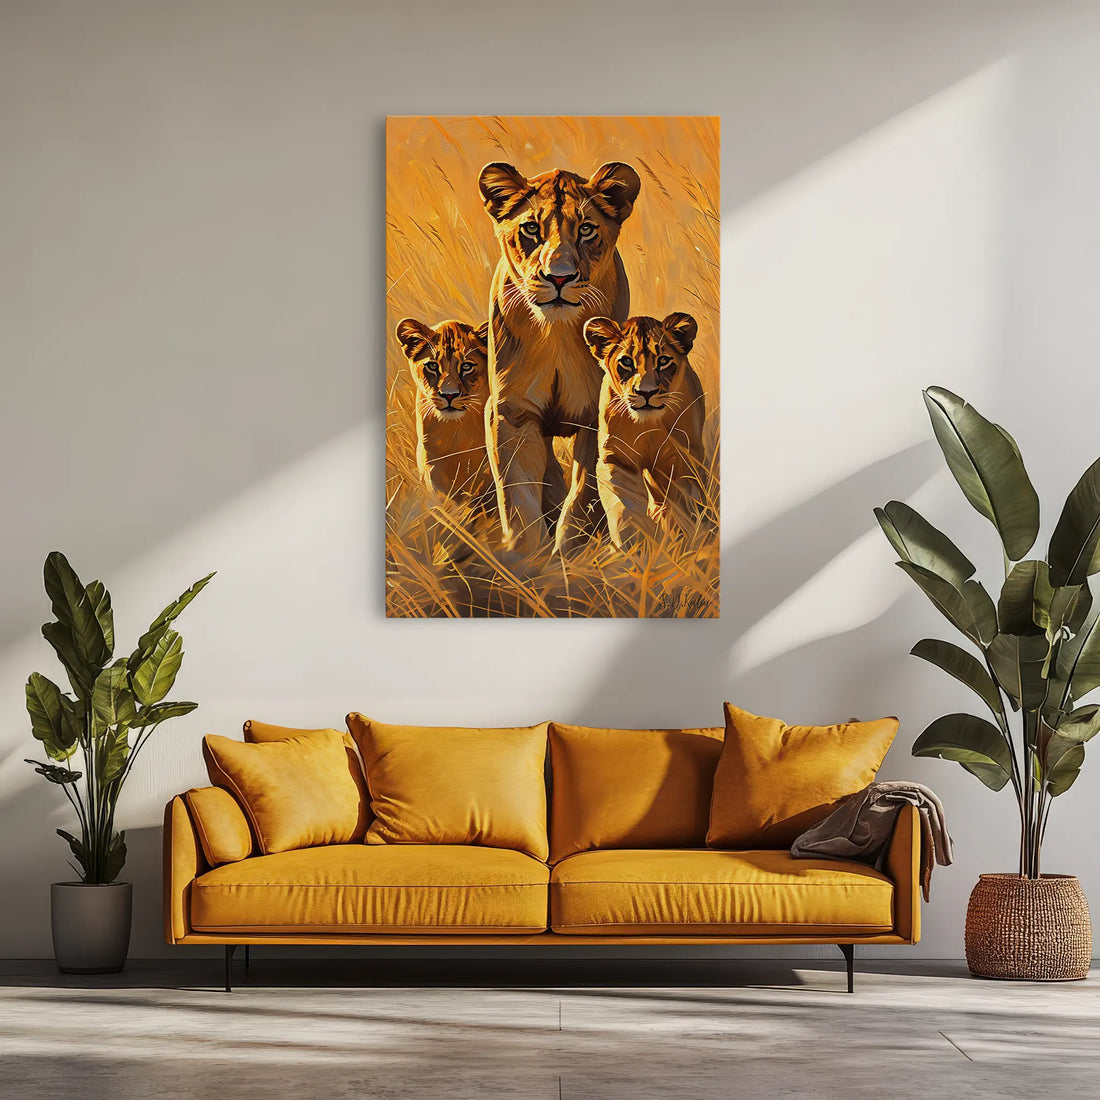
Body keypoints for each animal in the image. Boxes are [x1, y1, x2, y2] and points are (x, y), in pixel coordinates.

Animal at [477, 160, 641, 556]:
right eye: (531, 229)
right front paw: (526, 559)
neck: (557, 335)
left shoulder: (596, 417)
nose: (559, 278)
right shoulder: (511, 412)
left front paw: (569, 555)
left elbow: (584, 494)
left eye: (586, 229)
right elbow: (518, 494)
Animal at [582, 312, 708, 550]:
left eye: (663, 361)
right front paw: (633, 544)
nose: (646, 392)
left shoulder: (682, 458)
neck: (648, 426)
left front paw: (684, 539)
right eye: (626, 361)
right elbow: (624, 506)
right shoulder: (616, 458)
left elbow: (681, 503)